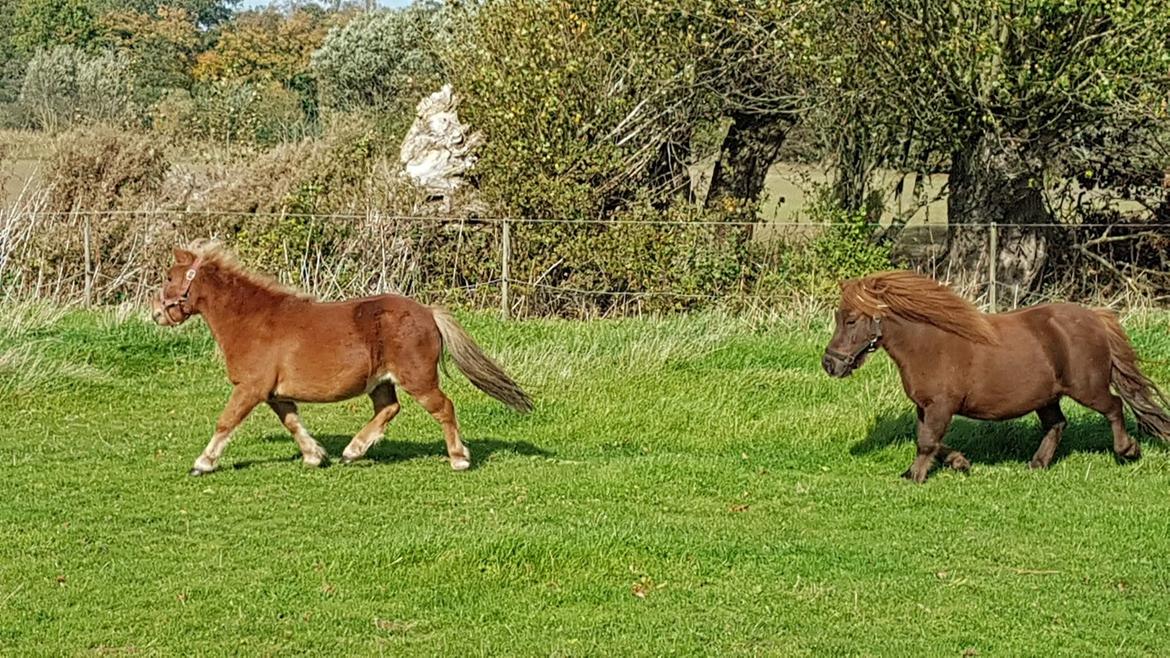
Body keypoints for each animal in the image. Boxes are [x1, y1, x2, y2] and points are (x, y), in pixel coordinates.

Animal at [153, 240, 533, 470]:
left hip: (418, 379)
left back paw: (458, 458)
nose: (157, 314)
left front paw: (203, 462)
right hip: (381, 381)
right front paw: (315, 455)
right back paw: (354, 450)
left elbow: (226, 421)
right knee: (388, 408)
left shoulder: (250, 388)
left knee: (443, 408)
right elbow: (292, 422)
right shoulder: (274, 394)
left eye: (170, 277)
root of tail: (428, 312)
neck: (252, 319)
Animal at [823, 269, 1170, 480]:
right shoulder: (925, 407)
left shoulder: (940, 406)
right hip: (1047, 396)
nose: (830, 364)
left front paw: (916, 476)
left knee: (1114, 407)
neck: (929, 344)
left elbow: (926, 442)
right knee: (1057, 424)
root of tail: (1096, 318)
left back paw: (1127, 450)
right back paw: (1037, 463)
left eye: (851, 319)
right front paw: (959, 463)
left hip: (1088, 388)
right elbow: (930, 440)